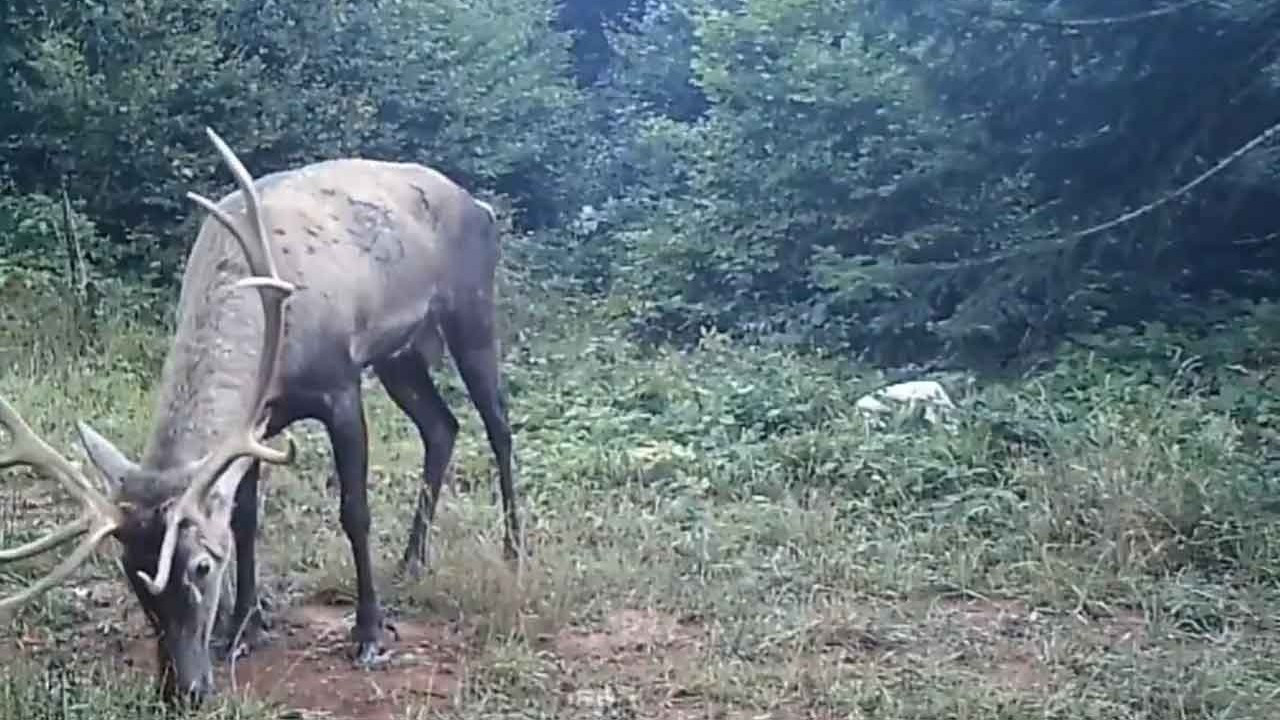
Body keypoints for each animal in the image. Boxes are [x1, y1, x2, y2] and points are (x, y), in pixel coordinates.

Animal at [1, 128, 519, 702]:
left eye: (202, 566)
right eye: (130, 572)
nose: (180, 689)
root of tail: (479, 206)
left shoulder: (340, 385)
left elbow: (354, 512)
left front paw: (368, 634)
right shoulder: (257, 422)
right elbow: (245, 517)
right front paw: (244, 627)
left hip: (471, 309)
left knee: (498, 425)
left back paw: (513, 550)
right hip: (398, 356)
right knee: (442, 427)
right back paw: (411, 559)